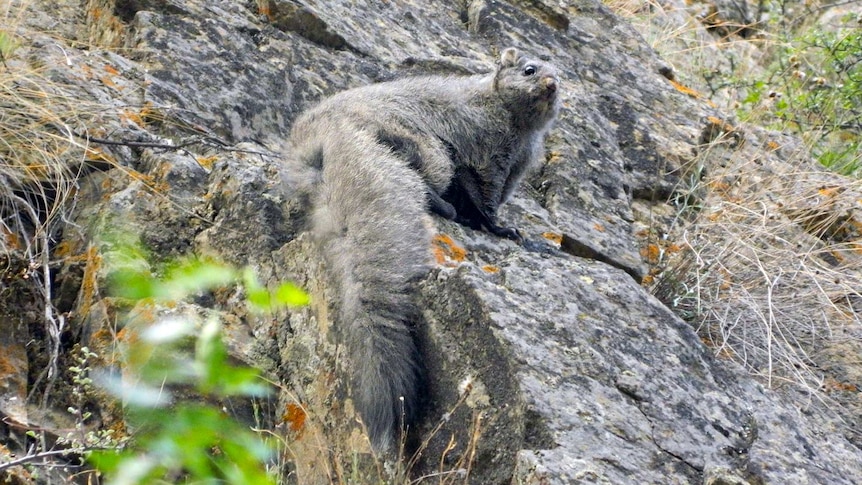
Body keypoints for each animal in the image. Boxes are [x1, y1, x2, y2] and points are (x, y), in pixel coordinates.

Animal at [286, 48, 564, 450]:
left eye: (562, 75)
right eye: (530, 70)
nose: (552, 83)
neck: (521, 134)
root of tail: (323, 134)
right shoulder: (490, 154)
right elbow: (486, 196)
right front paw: (502, 227)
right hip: (425, 146)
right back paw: (443, 205)